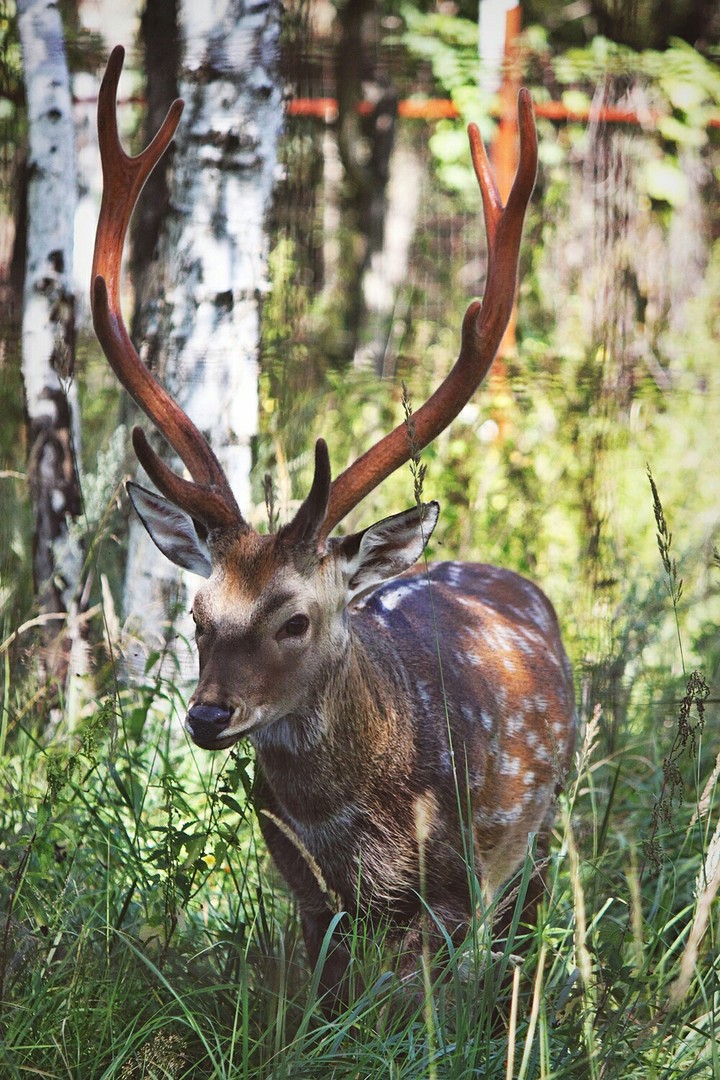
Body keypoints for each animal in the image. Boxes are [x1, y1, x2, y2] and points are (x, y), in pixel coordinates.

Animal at [92, 46, 576, 1004]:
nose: (208, 715)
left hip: (547, 816)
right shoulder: (307, 895)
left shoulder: (452, 890)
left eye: (295, 619)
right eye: (197, 617)